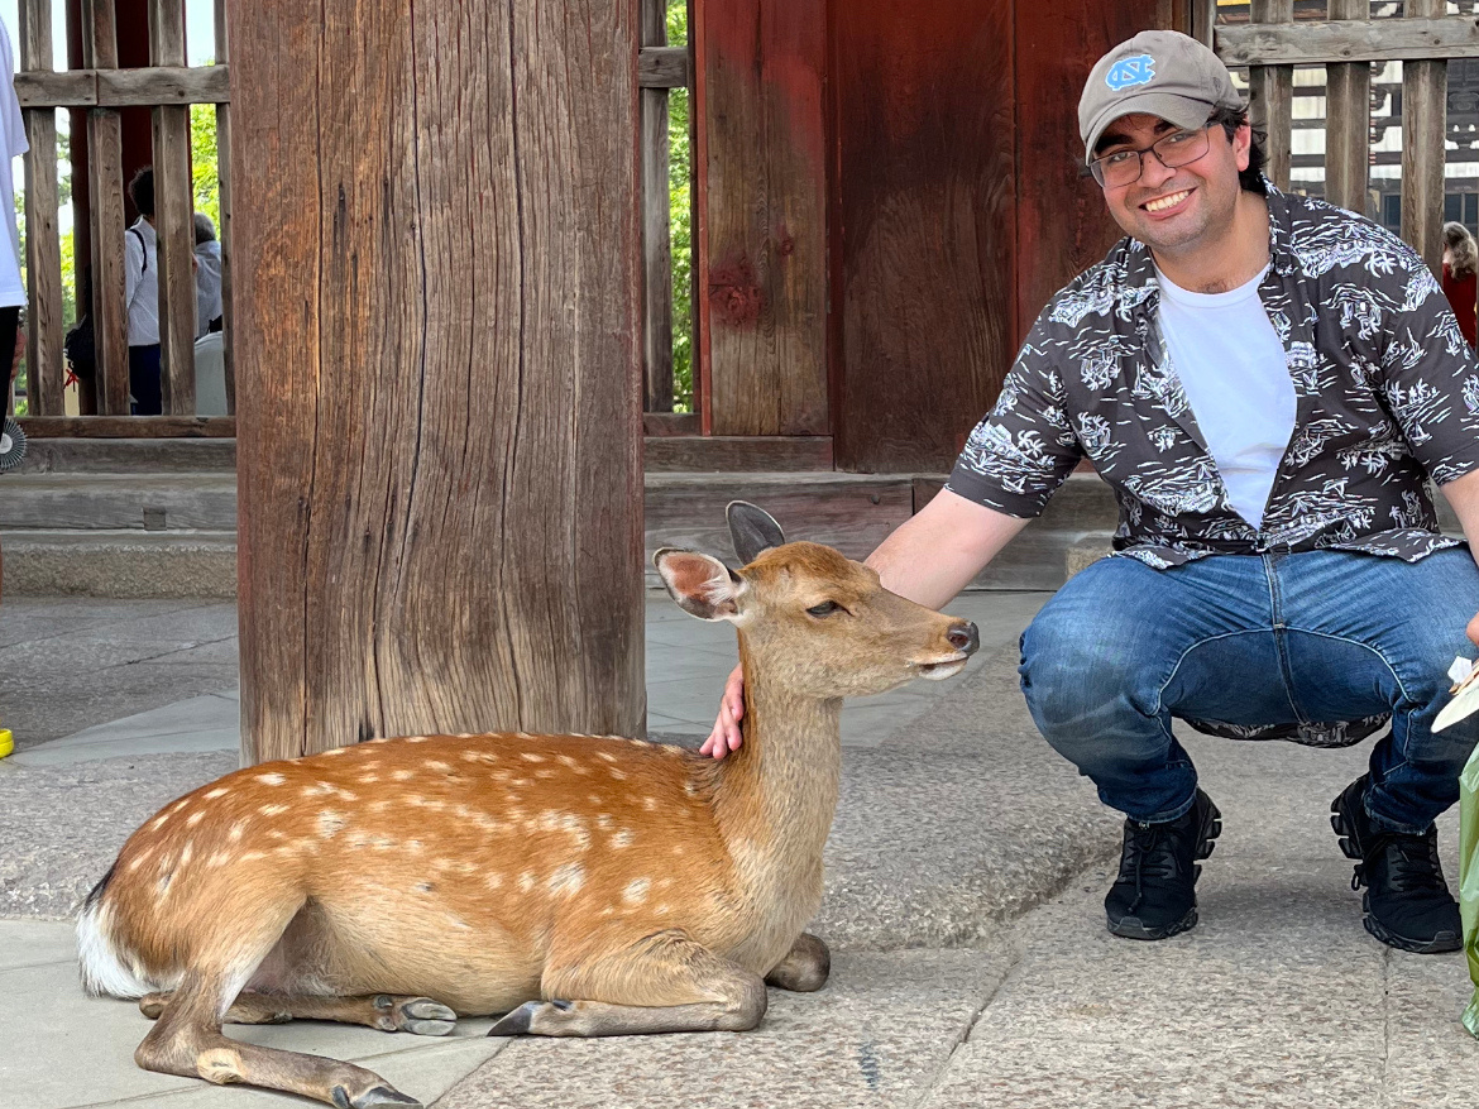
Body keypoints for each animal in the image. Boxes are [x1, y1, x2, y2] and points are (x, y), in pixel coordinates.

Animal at [78, 505, 982, 1109]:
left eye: (875, 574)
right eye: (823, 603)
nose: (961, 629)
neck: (739, 846)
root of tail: (104, 907)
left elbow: (810, 959)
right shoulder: (605, 930)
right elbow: (741, 995)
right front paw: (542, 1014)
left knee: (194, 1003)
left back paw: (401, 1008)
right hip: (251, 882)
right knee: (175, 1035)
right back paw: (359, 1081)